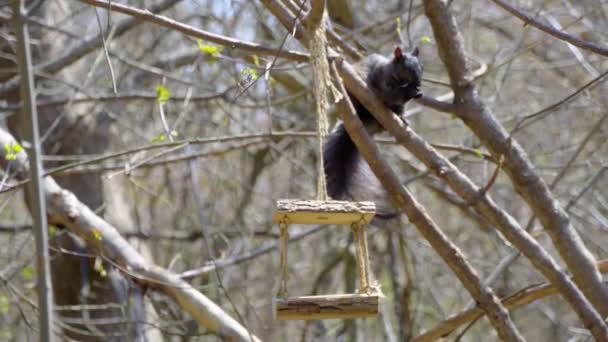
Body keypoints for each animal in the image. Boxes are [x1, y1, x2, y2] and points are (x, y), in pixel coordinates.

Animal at [324, 46, 422, 218]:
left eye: (421, 67)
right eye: (408, 68)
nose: (418, 83)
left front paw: (416, 93)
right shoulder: (381, 82)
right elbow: (390, 94)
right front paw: (410, 91)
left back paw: (401, 119)